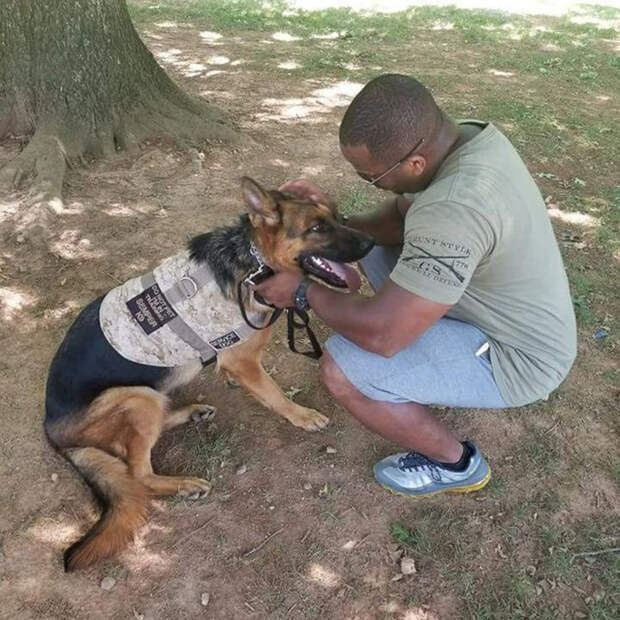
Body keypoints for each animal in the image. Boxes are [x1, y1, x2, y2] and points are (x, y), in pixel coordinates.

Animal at [44, 176, 372, 572]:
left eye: (336, 216)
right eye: (317, 228)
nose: (371, 243)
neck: (254, 262)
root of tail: (52, 431)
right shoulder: (243, 359)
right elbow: (274, 393)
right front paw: (301, 415)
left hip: (146, 397)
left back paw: (192, 412)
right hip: (135, 396)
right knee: (139, 474)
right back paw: (183, 483)